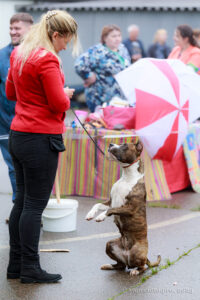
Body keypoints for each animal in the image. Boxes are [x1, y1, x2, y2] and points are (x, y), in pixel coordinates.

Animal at [85, 139, 160, 276]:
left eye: (124, 146)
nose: (110, 144)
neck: (127, 177)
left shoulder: (129, 208)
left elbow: (110, 210)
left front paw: (100, 217)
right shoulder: (110, 201)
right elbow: (97, 205)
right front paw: (90, 214)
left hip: (137, 252)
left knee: (142, 266)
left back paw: (136, 271)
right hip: (110, 244)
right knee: (121, 265)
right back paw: (109, 265)